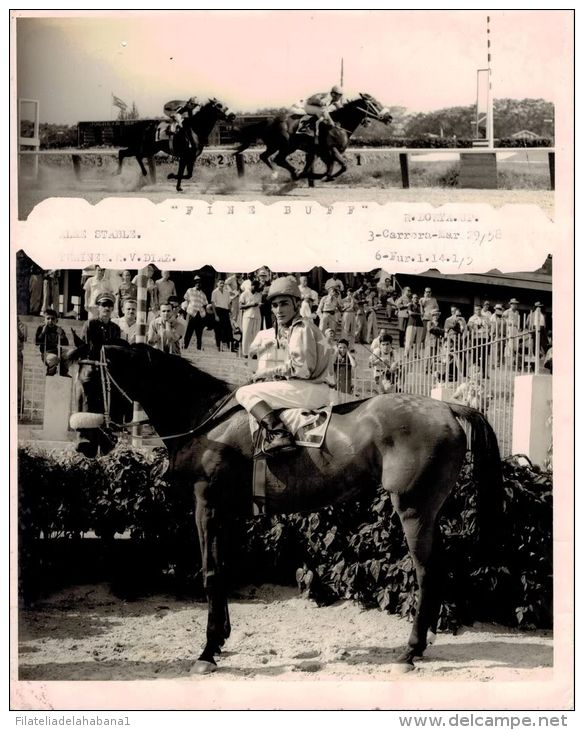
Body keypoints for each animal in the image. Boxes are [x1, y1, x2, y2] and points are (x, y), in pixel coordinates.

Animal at [67, 342, 502, 672]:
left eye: (90, 381)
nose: (86, 443)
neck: (207, 420)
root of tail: (447, 408)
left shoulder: (206, 503)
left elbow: (210, 573)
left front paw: (206, 652)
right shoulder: (227, 511)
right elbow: (223, 569)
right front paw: (220, 639)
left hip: (412, 509)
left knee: (427, 573)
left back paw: (410, 650)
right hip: (428, 511)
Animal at [233, 93, 392, 182]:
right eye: (375, 104)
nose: (390, 117)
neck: (339, 124)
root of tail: (268, 120)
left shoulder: (324, 153)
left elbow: (330, 168)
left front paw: (322, 176)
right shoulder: (331, 149)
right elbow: (343, 166)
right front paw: (322, 177)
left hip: (277, 145)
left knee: (267, 157)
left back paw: (292, 173)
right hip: (285, 145)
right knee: (276, 159)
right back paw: (288, 173)